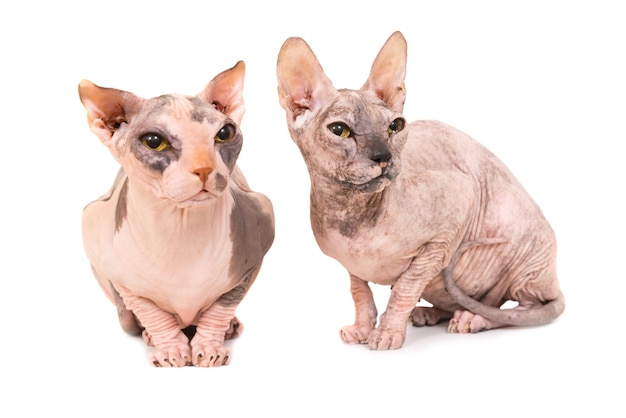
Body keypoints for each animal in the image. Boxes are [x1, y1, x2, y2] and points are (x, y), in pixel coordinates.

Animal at [78, 61, 272, 366]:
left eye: (224, 133)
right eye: (153, 141)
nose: (204, 169)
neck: (182, 229)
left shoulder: (256, 249)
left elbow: (222, 306)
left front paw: (210, 346)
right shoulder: (115, 273)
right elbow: (150, 311)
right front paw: (170, 348)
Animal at [276, 31, 564, 350]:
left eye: (395, 126)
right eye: (340, 130)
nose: (383, 156)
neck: (349, 213)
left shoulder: (453, 214)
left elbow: (405, 286)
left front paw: (387, 333)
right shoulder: (351, 264)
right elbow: (360, 293)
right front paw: (362, 328)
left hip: (520, 242)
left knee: (522, 308)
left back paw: (473, 318)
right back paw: (430, 312)